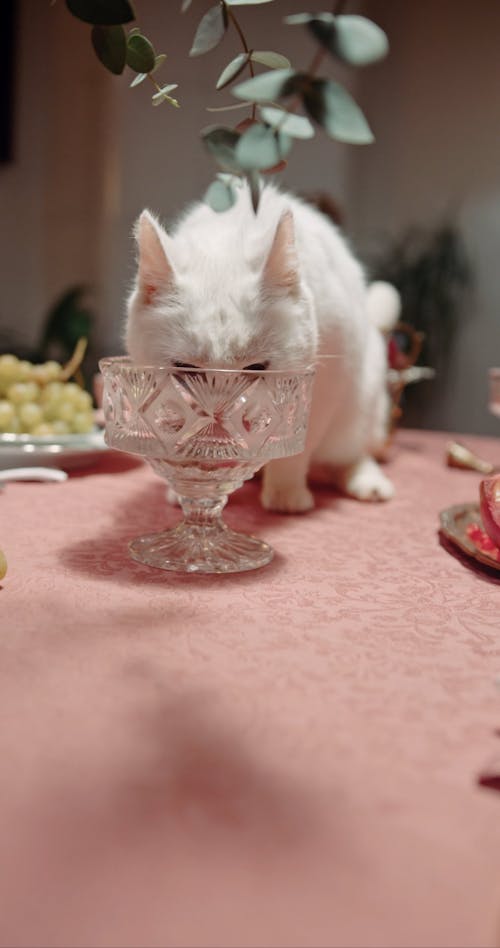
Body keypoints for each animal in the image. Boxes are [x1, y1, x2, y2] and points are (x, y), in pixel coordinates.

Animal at [125, 182, 398, 516]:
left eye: (256, 369)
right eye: (186, 369)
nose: (219, 413)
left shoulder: (325, 383)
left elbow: (293, 449)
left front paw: (285, 494)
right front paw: (192, 486)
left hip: (360, 405)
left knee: (349, 454)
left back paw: (368, 482)